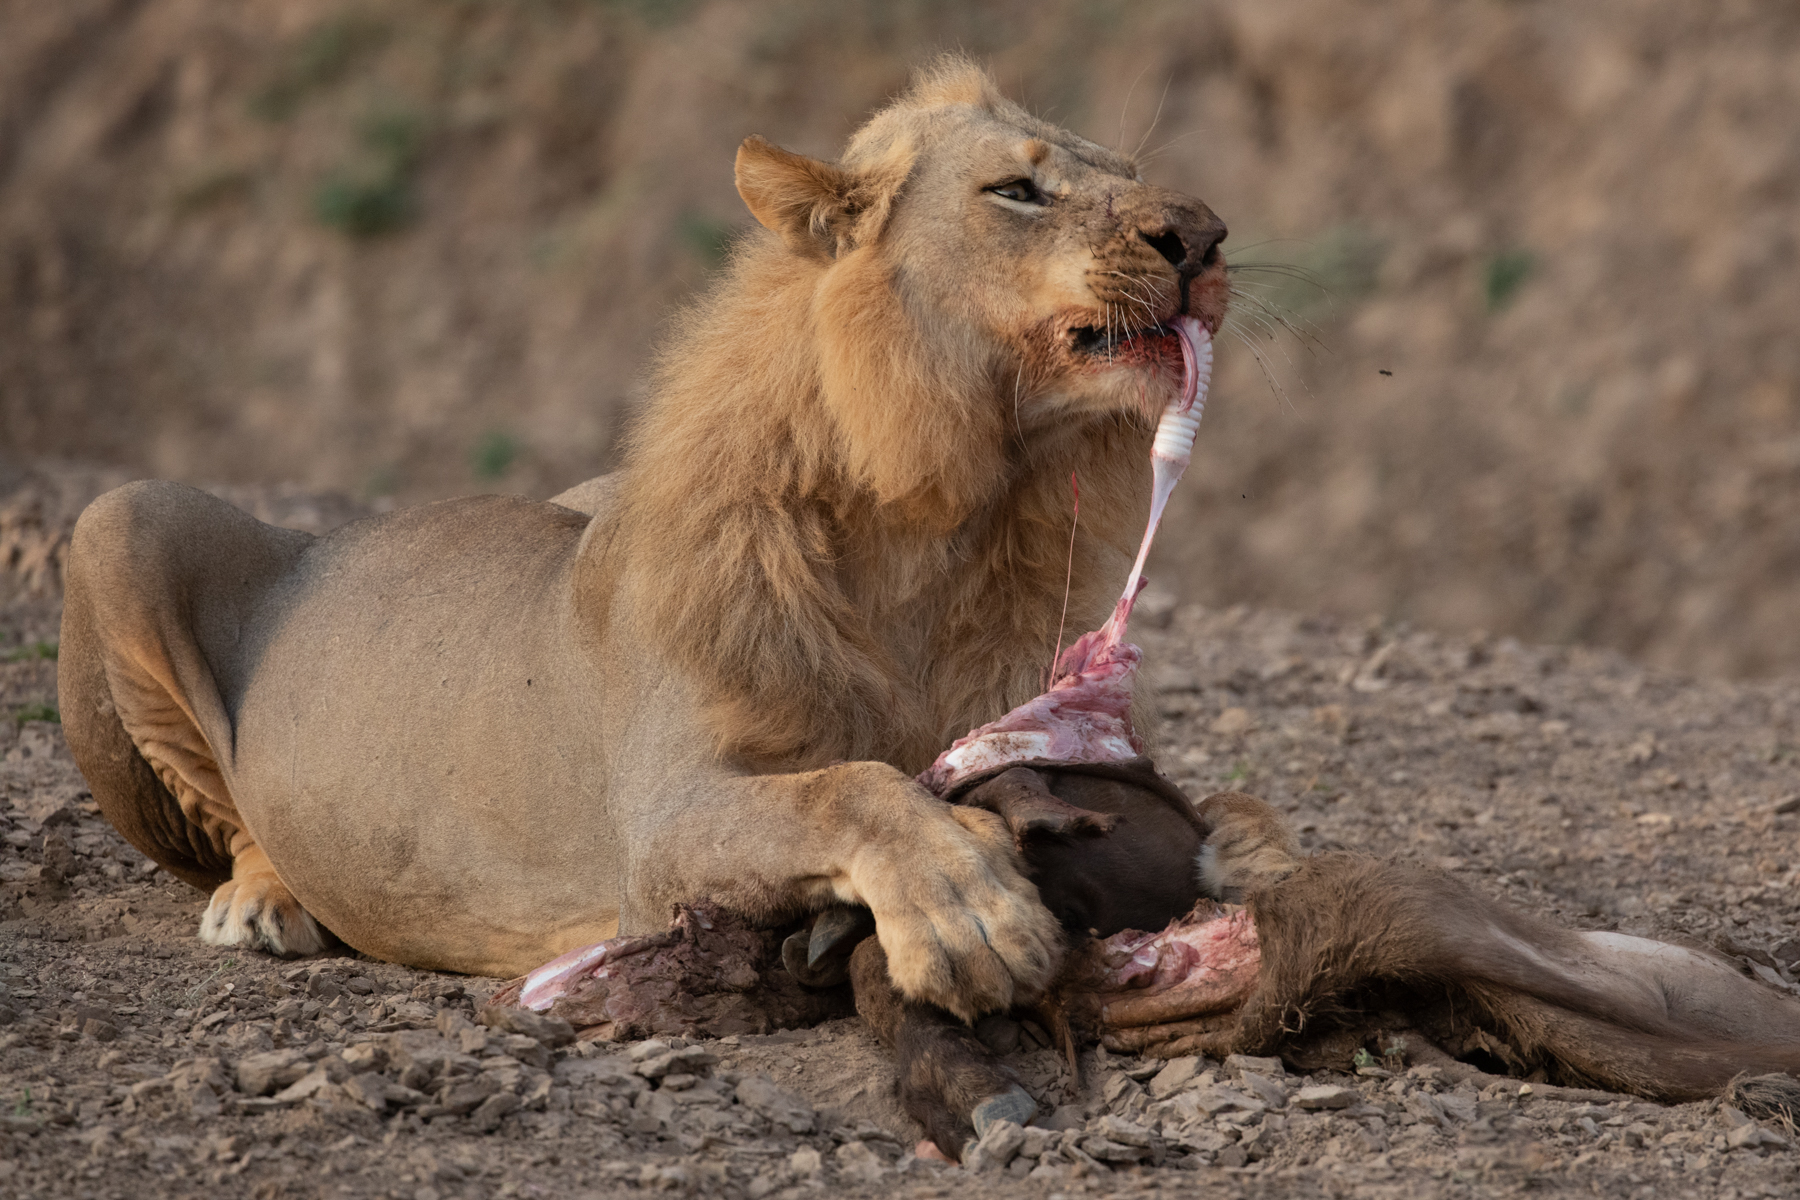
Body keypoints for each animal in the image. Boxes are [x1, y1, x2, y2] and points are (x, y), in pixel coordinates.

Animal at [56, 58, 1229, 1023]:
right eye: (1017, 191)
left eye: (1128, 170)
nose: (1209, 235)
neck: (935, 532)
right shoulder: (664, 823)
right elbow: (852, 785)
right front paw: (969, 915)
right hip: (120, 518)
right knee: (231, 814)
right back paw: (260, 899)